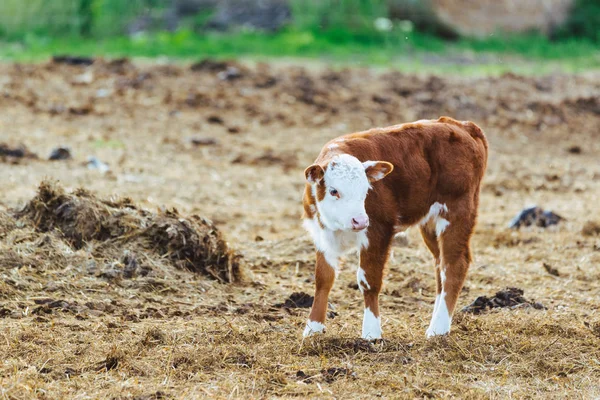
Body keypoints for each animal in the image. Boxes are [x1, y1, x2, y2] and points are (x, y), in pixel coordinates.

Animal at [302, 117, 490, 340]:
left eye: (366, 190)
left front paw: (371, 333)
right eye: (333, 190)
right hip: (430, 221)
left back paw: (438, 328)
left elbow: (368, 280)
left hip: (457, 210)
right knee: (440, 265)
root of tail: (462, 125)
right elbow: (323, 278)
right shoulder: (321, 234)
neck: (336, 225)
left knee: (454, 265)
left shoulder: (377, 231)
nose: (359, 221)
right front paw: (313, 328)